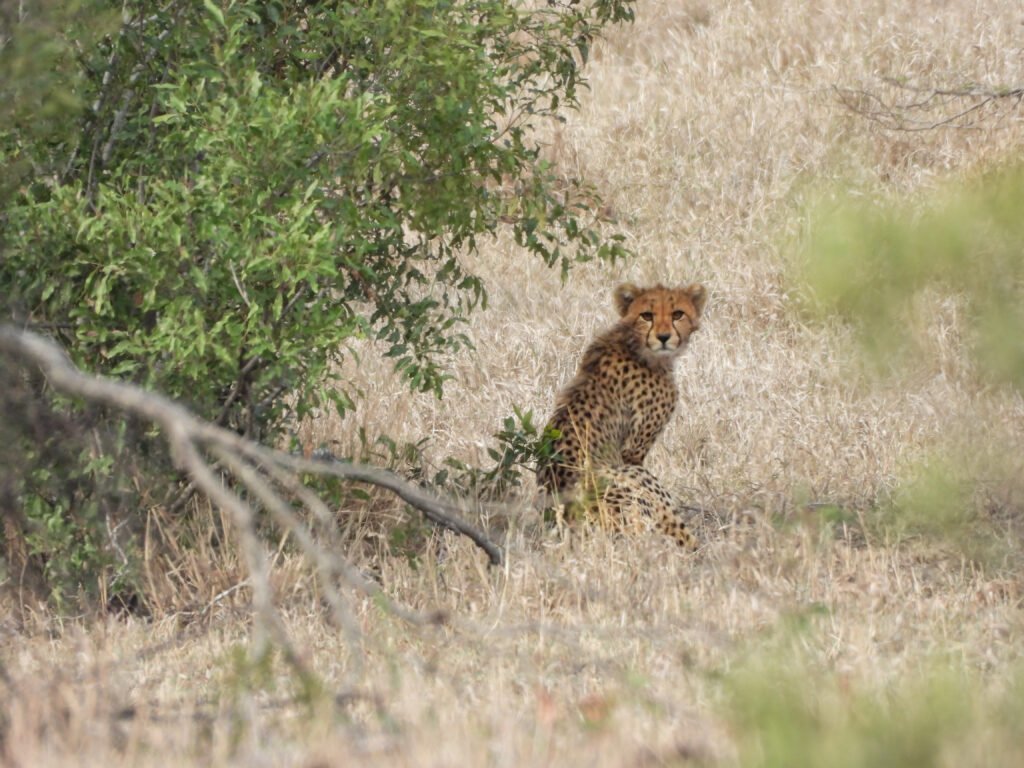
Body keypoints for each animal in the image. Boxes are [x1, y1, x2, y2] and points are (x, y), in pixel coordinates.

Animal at [538, 282, 707, 548]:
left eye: (677, 314)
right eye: (647, 315)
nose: (663, 337)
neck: (633, 343)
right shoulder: (633, 452)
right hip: (635, 479)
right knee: (683, 538)